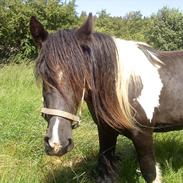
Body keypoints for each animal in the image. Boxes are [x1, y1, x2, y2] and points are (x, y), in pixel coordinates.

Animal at [29, 13, 183, 183]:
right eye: (44, 75)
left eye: (81, 74)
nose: (57, 144)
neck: (126, 89)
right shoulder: (106, 131)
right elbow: (105, 169)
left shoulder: (143, 134)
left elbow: (149, 173)